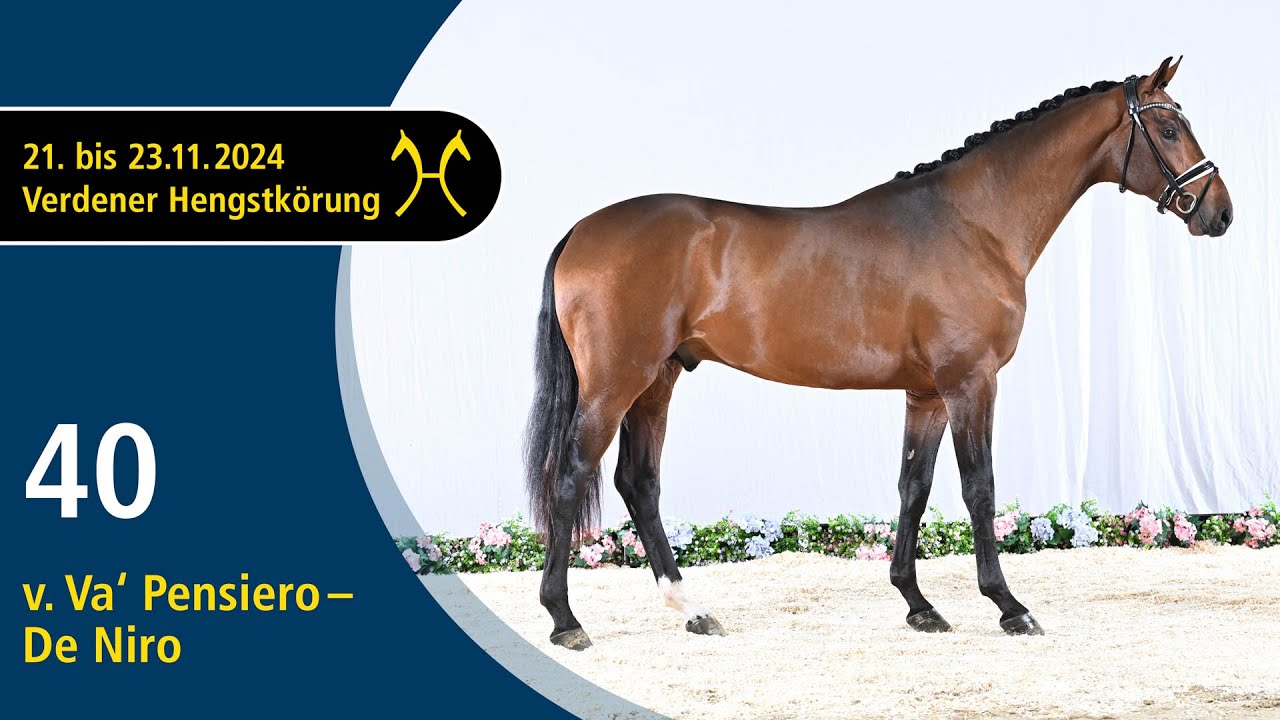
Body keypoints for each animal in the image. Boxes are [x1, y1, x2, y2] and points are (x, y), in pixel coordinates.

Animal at [524, 57, 1233, 650]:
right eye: (1169, 128)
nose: (1220, 213)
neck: (974, 224)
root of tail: (581, 230)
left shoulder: (927, 394)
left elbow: (913, 488)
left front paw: (919, 605)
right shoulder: (971, 383)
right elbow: (979, 487)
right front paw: (1009, 606)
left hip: (658, 381)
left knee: (637, 481)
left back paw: (693, 610)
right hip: (616, 383)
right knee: (572, 476)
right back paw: (565, 620)